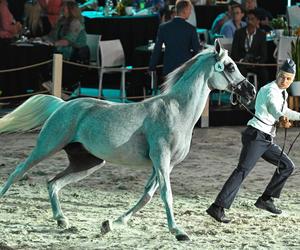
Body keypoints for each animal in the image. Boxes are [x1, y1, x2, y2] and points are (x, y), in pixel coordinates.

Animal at [0, 40, 255, 240]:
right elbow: (166, 194)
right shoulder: (161, 159)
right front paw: (178, 231)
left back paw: (62, 220)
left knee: (53, 183)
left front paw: (111, 224)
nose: (250, 90)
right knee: (18, 172)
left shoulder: (165, 164)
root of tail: (64, 104)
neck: (176, 110)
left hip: (87, 162)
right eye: (230, 66)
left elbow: (147, 195)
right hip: (47, 146)